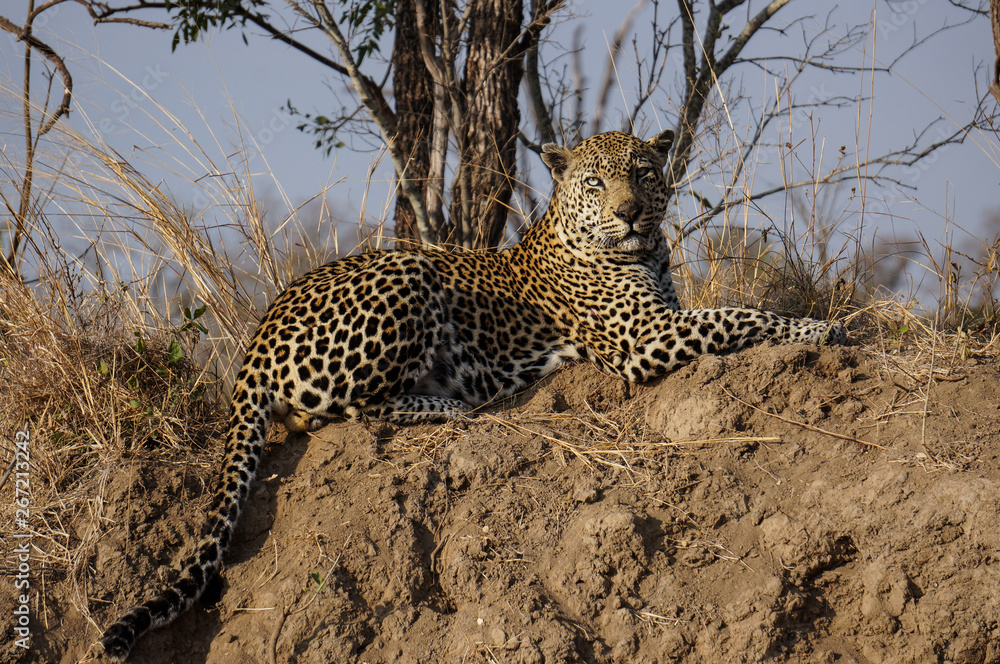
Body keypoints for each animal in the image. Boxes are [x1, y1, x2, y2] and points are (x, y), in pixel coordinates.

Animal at [97, 129, 845, 660]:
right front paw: (822, 327)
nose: (632, 213)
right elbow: (742, 315)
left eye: (643, 173)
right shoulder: (645, 337)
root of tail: (258, 334)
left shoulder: (665, 317)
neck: (641, 251)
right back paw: (451, 403)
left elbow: (732, 312)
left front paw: (819, 324)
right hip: (408, 272)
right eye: (596, 182)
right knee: (352, 409)